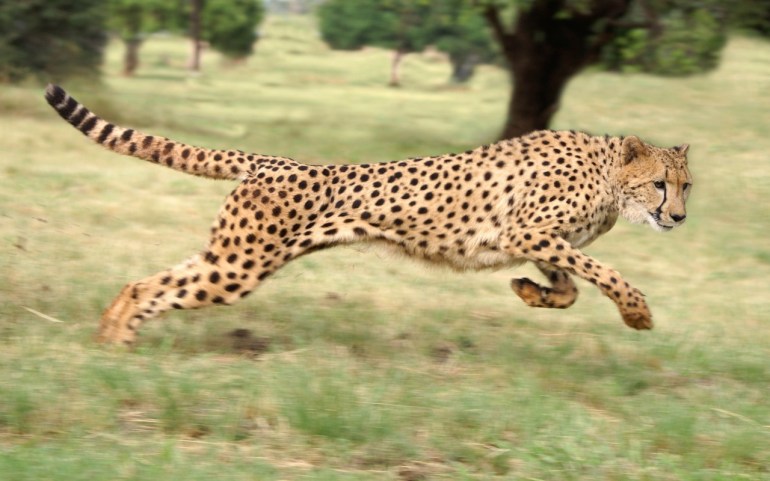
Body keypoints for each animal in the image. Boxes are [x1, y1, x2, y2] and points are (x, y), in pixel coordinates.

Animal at [44, 84, 692, 346]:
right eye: (660, 185)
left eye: (687, 187)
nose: (680, 218)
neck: (610, 175)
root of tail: (272, 160)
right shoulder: (528, 230)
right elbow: (602, 275)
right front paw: (637, 312)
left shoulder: (536, 241)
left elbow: (571, 285)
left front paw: (530, 293)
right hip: (239, 265)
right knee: (154, 285)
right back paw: (115, 341)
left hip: (230, 255)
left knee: (146, 282)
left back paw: (111, 338)